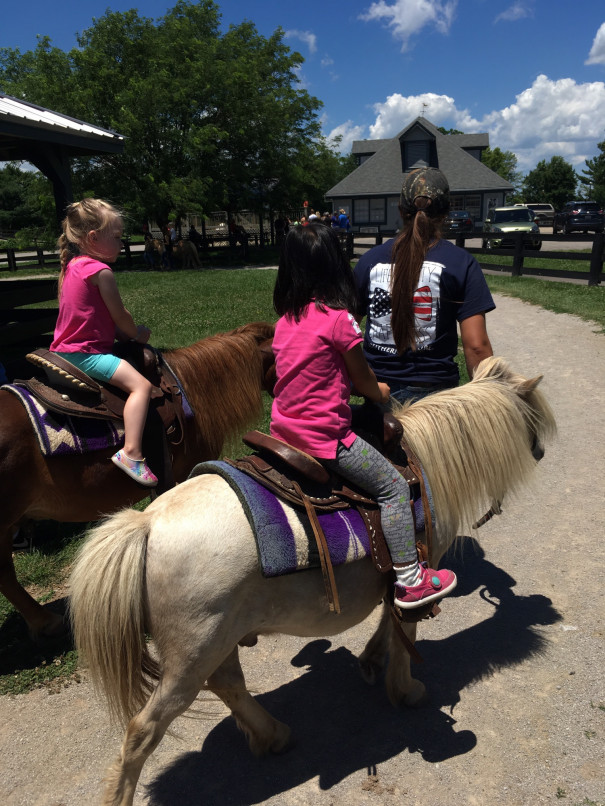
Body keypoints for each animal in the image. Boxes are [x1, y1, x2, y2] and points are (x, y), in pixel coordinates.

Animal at [68, 360, 556, 806]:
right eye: (533, 415)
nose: (541, 453)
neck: (425, 464)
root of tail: (146, 523)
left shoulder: (393, 580)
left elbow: (388, 620)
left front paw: (371, 661)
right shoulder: (419, 565)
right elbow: (406, 626)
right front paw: (405, 689)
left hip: (213, 641)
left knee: (229, 685)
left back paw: (273, 735)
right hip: (193, 653)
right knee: (143, 729)